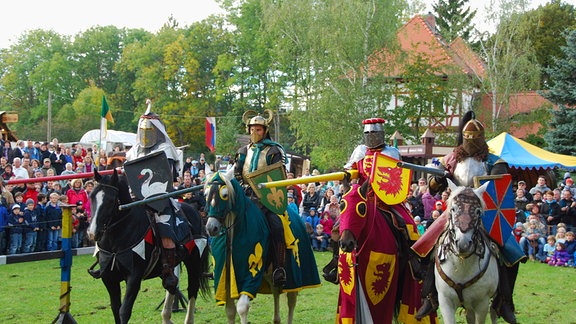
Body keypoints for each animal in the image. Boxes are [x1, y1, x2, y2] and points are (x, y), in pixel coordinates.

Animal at [88, 170, 209, 324]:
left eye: (110, 201)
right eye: (92, 197)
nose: (93, 233)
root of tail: (194, 212)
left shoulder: (134, 277)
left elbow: (124, 311)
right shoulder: (109, 278)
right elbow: (115, 309)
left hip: (194, 260)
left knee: (193, 288)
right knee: (172, 284)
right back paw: (166, 317)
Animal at [436, 180, 500, 324]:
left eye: (477, 211)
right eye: (453, 209)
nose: (463, 244)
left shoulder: (482, 304)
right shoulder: (445, 302)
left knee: (494, 313)